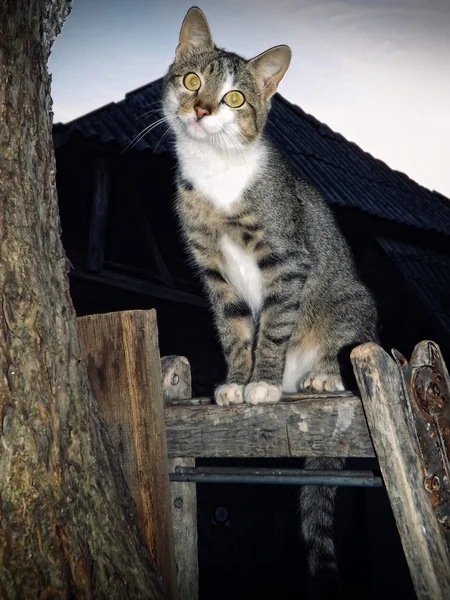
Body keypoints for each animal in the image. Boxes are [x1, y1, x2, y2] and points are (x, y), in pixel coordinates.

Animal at [163, 5, 378, 596]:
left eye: (236, 98)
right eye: (193, 80)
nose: (202, 109)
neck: (217, 174)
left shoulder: (287, 257)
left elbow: (275, 323)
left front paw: (260, 381)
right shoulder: (212, 269)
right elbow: (235, 329)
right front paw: (236, 383)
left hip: (352, 305)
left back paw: (320, 377)